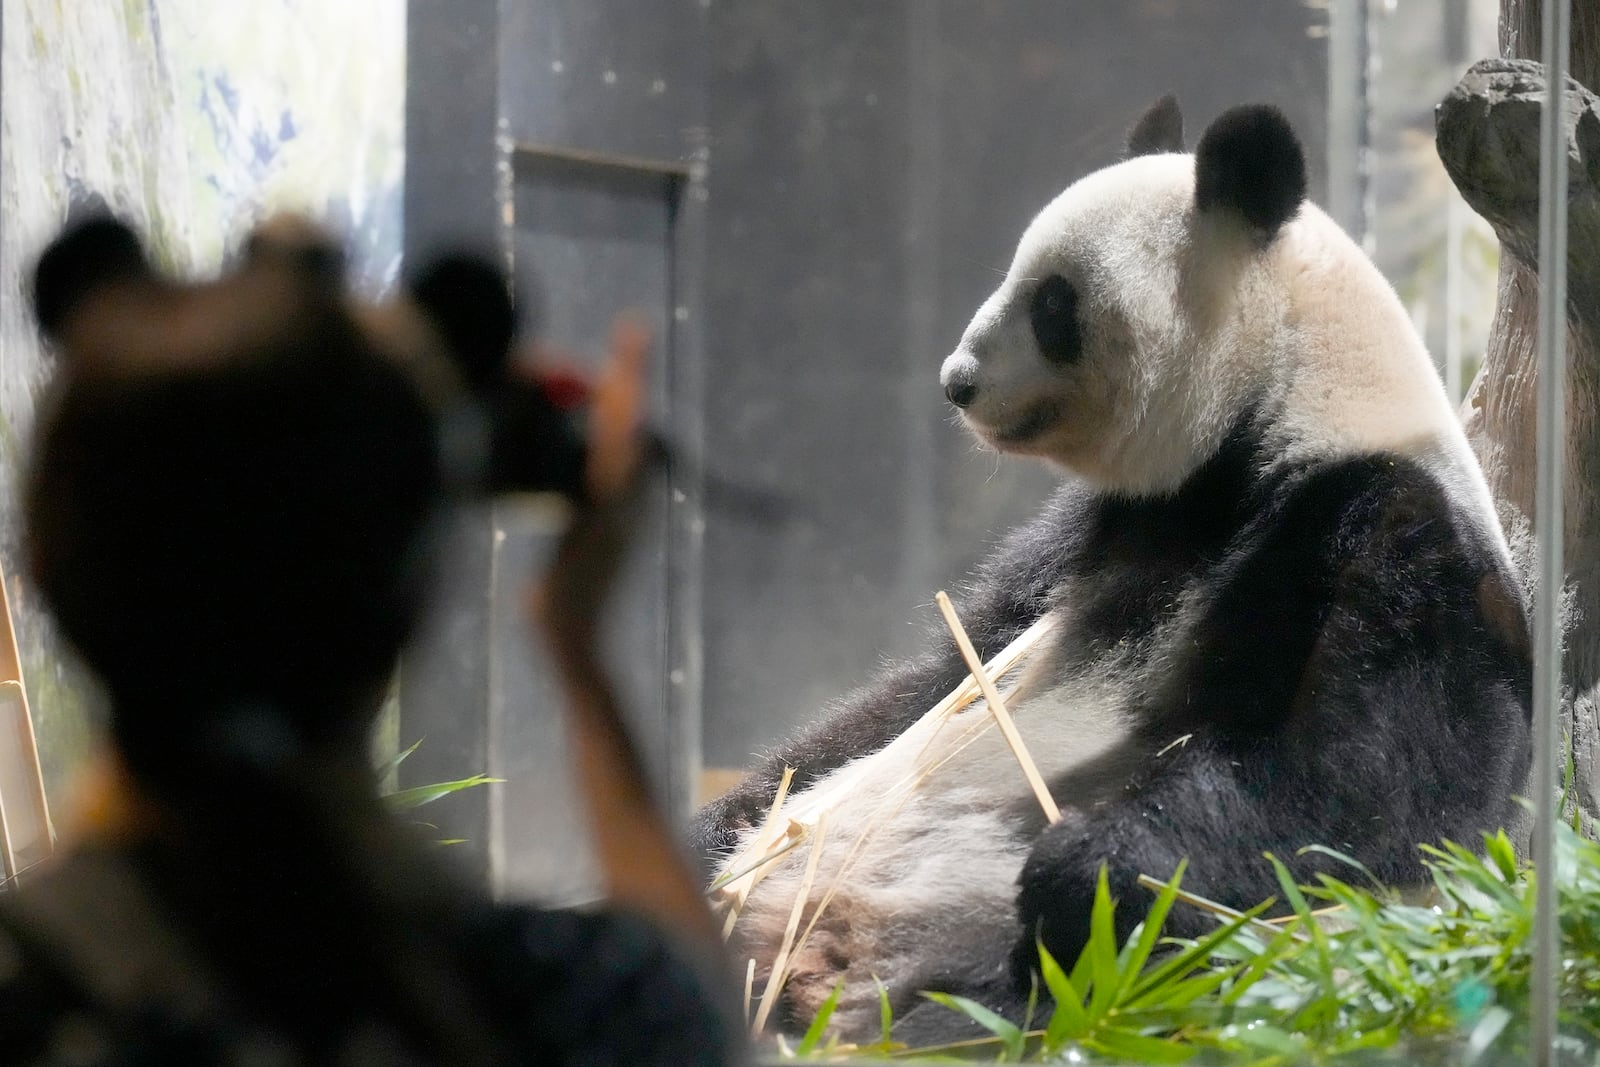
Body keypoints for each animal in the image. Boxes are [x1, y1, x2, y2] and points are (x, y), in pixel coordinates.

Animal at [691, 95, 1536, 1049]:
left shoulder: (1396, 529)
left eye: (1053, 301)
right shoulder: (1092, 536)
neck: (1282, 408)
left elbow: (1372, 780)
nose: (957, 381)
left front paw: (1085, 868)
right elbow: (919, 688)